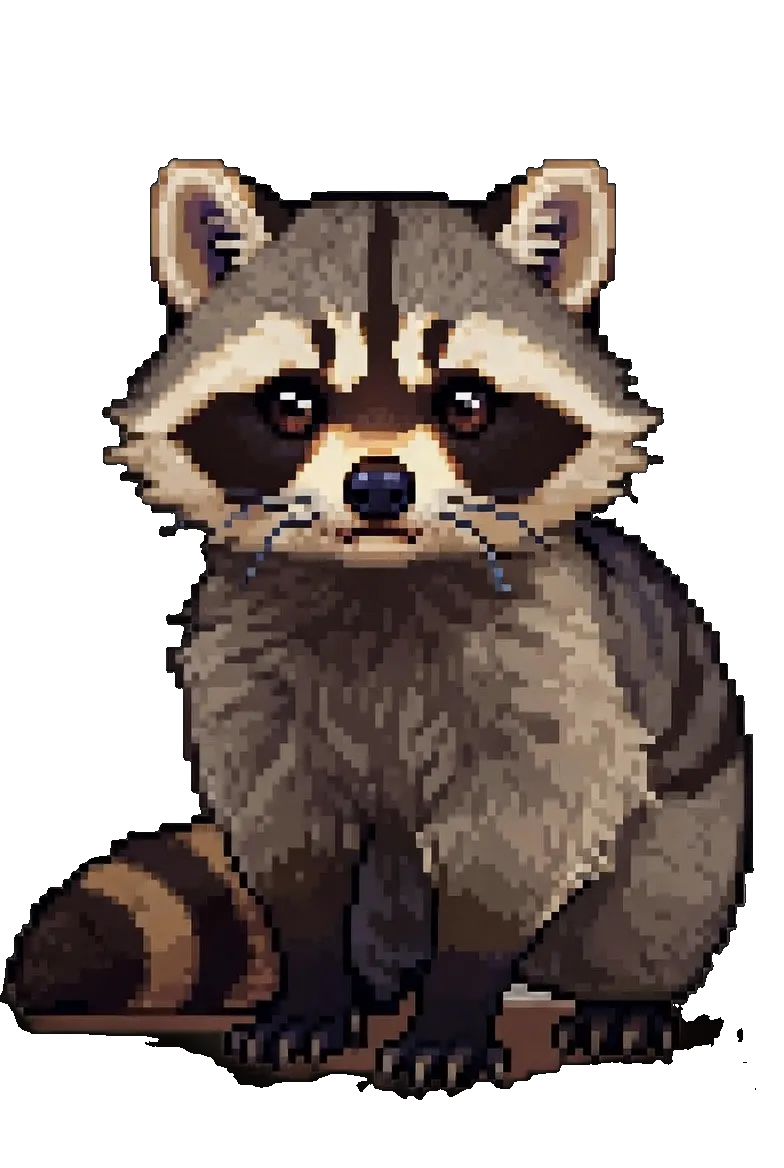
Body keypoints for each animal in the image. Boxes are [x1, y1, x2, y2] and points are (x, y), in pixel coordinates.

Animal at [24, 158, 755, 1087]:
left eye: (466, 403)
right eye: (292, 403)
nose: (378, 486)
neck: (378, 575)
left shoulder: (551, 659)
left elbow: (521, 827)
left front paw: (457, 1002)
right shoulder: (248, 660)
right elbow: (288, 832)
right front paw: (309, 986)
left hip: (699, 815)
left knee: (653, 899)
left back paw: (617, 997)